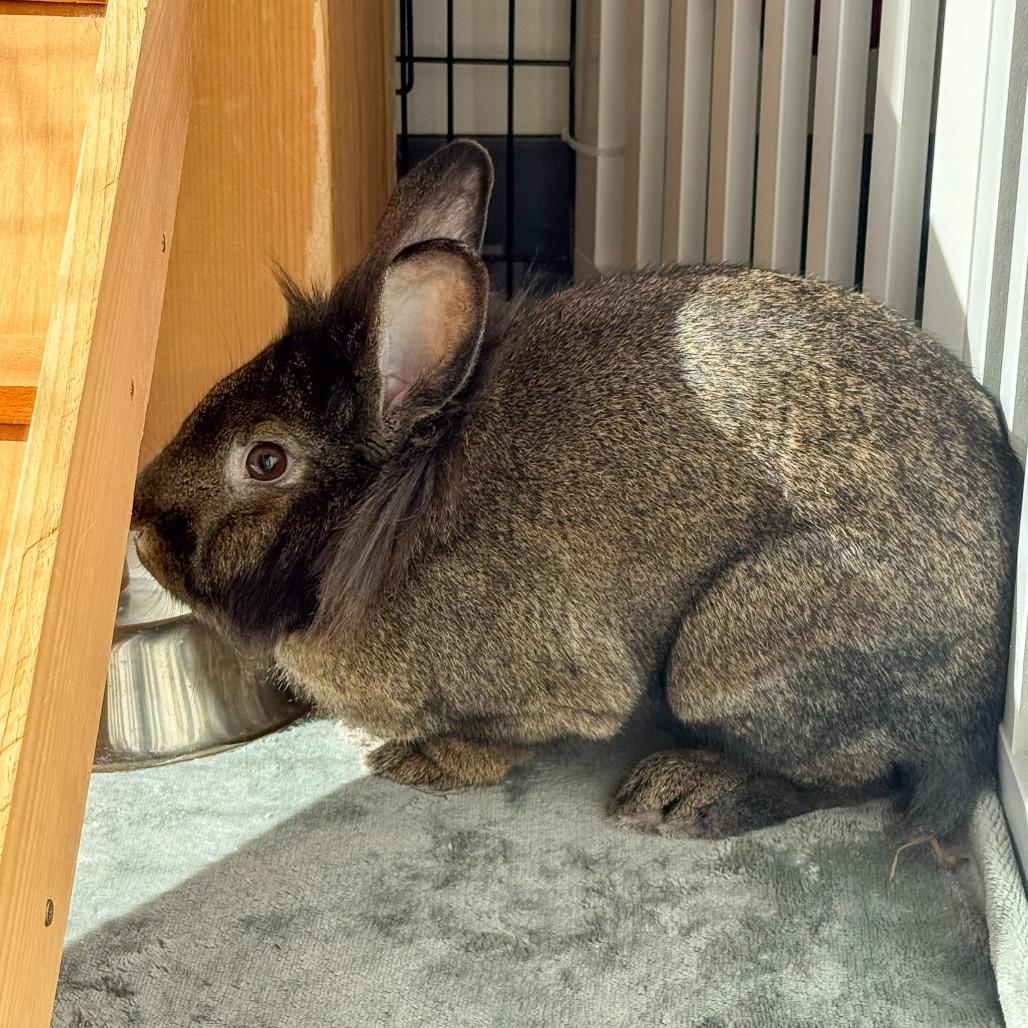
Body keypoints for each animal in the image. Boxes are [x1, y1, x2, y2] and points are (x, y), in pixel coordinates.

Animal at [132, 139, 1021, 840]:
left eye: (265, 461)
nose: (139, 525)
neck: (388, 507)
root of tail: (978, 703)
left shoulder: (555, 684)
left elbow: (510, 737)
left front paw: (417, 761)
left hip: (727, 650)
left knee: (865, 774)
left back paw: (685, 796)